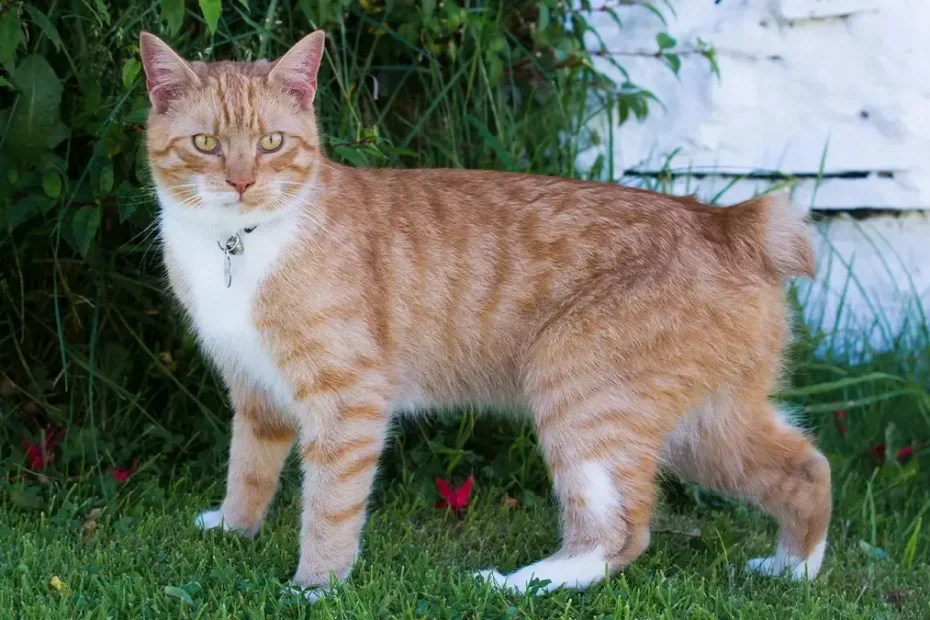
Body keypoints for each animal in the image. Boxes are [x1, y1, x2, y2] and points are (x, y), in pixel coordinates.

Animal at [140, 29, 831, 598]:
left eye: (271, 143)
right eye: (206, 144)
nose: (241, 182)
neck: (236, 246)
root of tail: (728, 220)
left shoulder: (348, 401)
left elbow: (329, 506)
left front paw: (315, 587)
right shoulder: (257, 394)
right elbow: (248, 472)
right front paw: (232, 530)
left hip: (582, 395)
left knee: (620, 533)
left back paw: (518, 584)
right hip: (705, 426)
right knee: (807, 466)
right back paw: (792, 569)